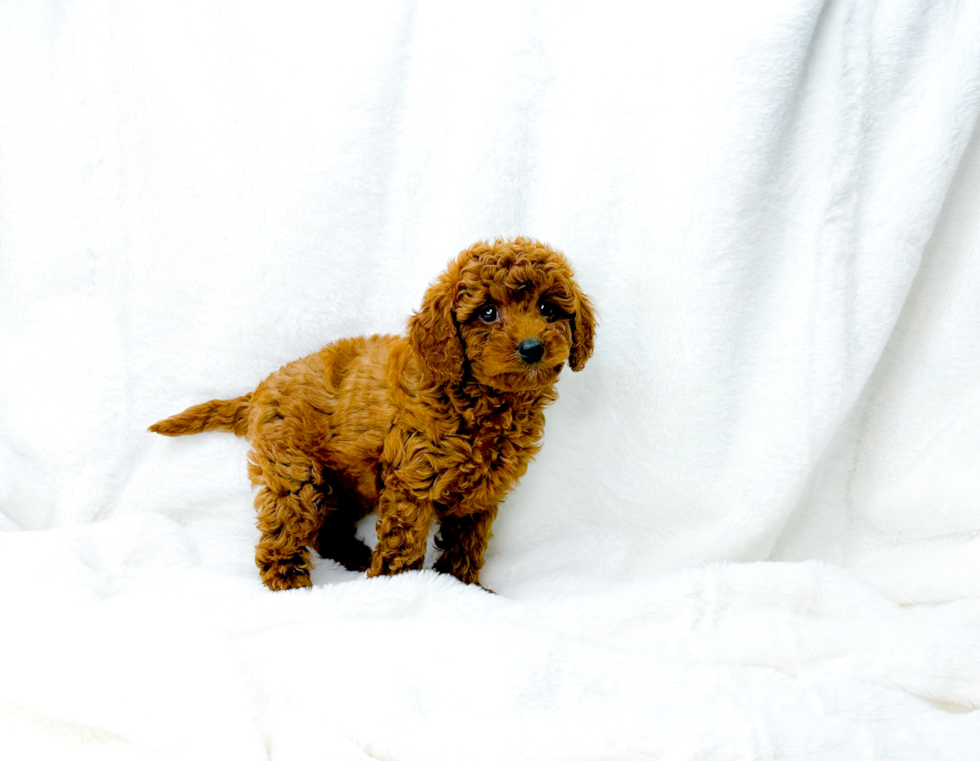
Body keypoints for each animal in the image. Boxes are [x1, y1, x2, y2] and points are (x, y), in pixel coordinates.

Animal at [151, 238, 596, 588]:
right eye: (487, 312)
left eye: (548, 309)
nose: (533, 348)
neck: (480, 398)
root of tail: (261, 389)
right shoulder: (412, 480)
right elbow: (405, 539)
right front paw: (395, 585)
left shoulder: (482, 492)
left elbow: (468, 542)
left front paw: (464, 586)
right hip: (294, 470)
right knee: (285, 524)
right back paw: (289, 581)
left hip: (348, 481)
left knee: (327, 529)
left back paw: (354, 556)